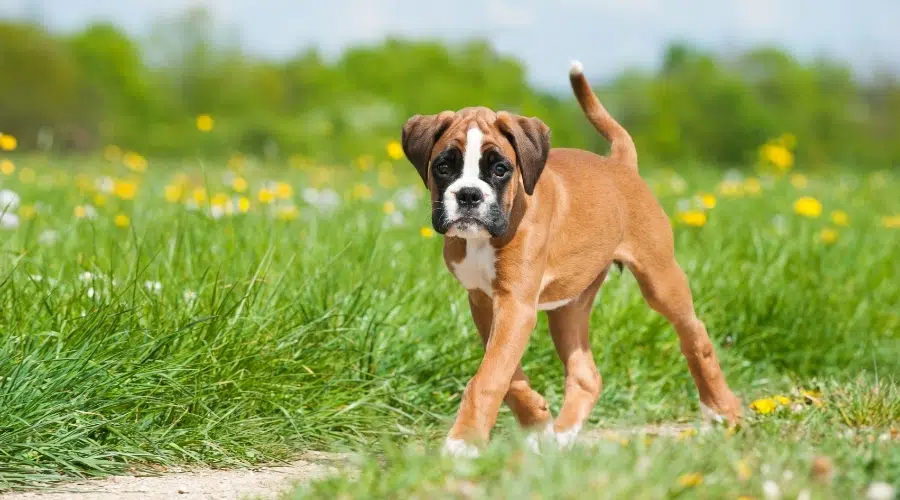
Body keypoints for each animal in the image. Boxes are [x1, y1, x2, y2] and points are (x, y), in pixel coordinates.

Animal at [404, 60, 740, 456]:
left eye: (500, 169)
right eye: (444, 166)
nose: (469, 195)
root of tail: (620, 164)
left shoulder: (515, 306)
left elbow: (490, 376)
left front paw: (464, 441)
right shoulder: (487, 302)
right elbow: (506, 372)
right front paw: (536, 421)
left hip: (660, 280)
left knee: (696, 337)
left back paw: (723, 410)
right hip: (569, 308)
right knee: (586, 375)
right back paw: (562, 435)